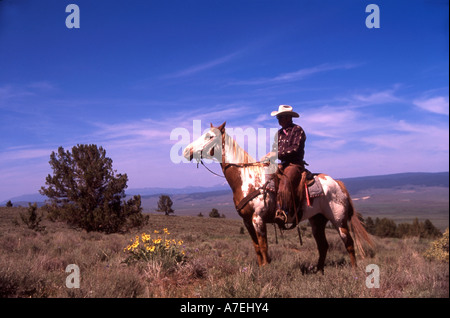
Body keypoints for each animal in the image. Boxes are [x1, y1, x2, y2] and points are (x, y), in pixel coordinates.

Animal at [183, 121, 372, 270]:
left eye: (209, 136)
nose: (186, 151)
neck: (246, 178)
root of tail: (337, 183)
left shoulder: (258, 219)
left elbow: (264, 247)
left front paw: (267, 270)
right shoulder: (247, 221)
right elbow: (256, 248)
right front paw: (260, 269)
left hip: (339, 220)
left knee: (349, 243)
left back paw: (354, 271)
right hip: (317, 220)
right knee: (323, 246)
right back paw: (319, 271)